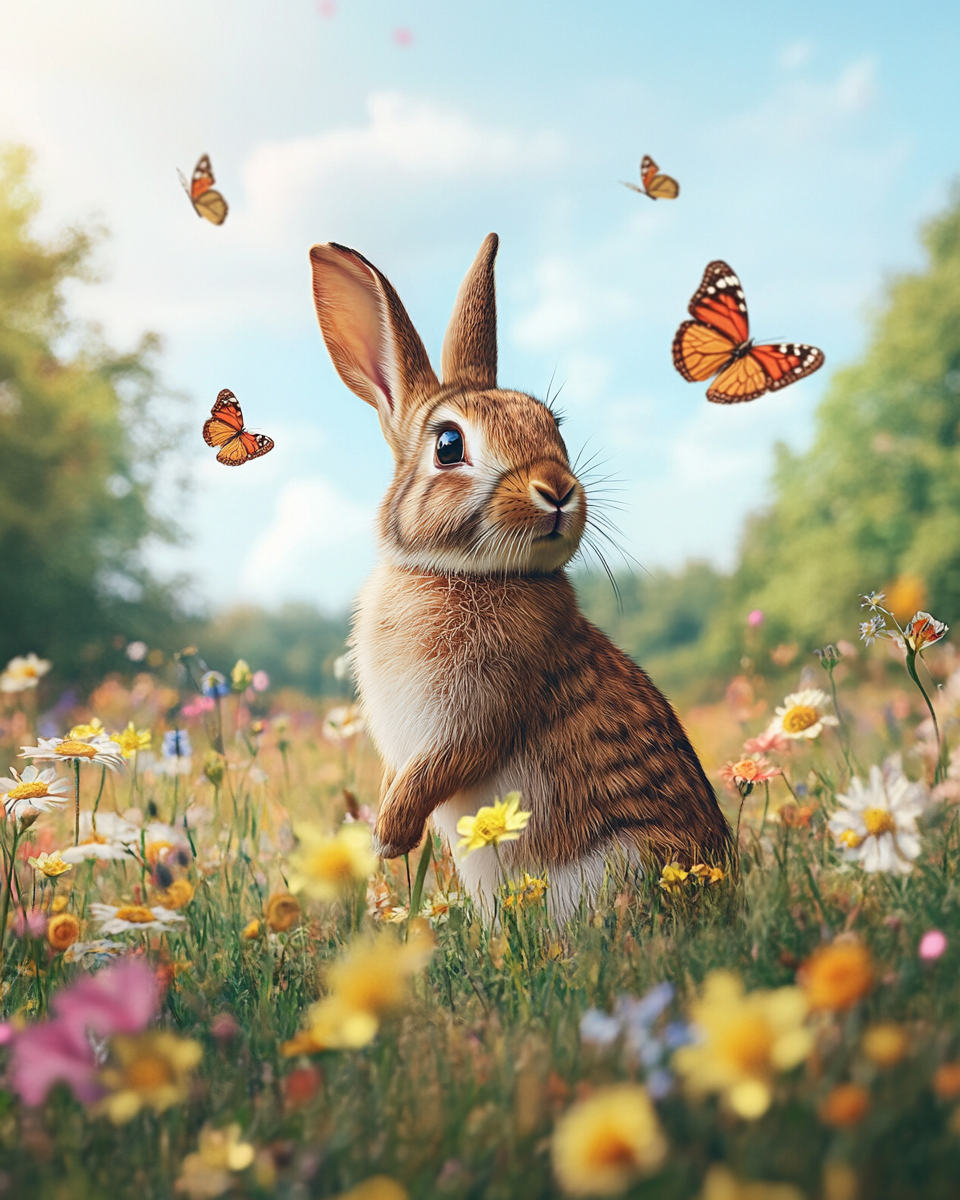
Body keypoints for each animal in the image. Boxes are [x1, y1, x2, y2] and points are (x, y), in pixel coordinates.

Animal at [309, 232, 731, 921]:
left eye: (552, 426)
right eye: (448, 445)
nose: (557, 491)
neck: (460, 571)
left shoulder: (482, 709)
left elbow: (443, 765)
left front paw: (389, 837)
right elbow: (402, 773)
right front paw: (387, 832)